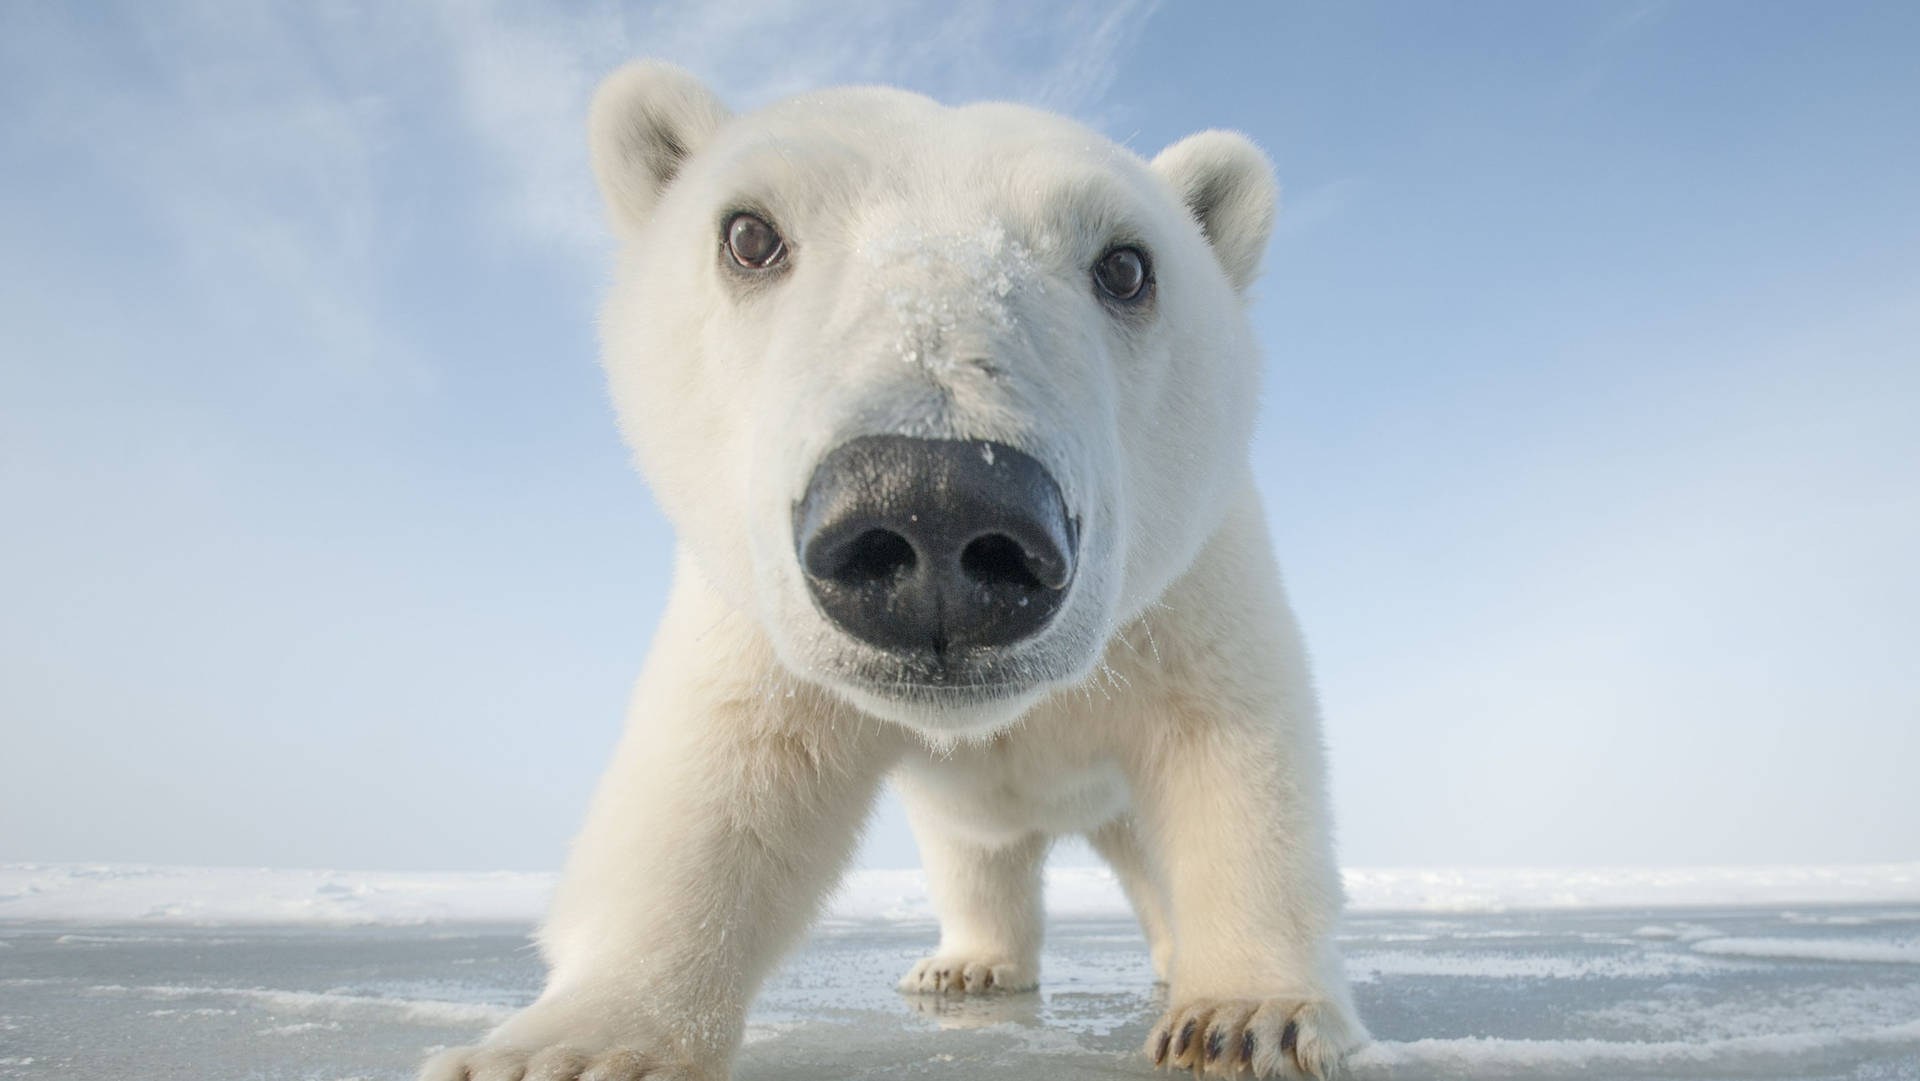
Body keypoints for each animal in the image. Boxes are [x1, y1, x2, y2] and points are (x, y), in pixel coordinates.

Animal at [421, 60, 1366, 1081]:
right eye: (748, 234)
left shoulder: (1188, 594)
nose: (936, 507)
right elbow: (718, 784)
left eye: (1127, 265)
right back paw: (968, 964)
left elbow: (1234, 756)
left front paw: (1249, 1015)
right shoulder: (755, 630)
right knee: (977, 852)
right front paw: (563, 1047)